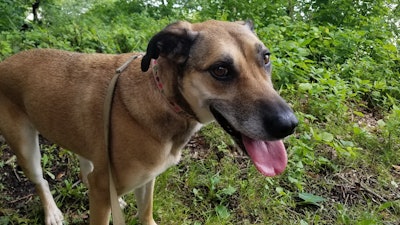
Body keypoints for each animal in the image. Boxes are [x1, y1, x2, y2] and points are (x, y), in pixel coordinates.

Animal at [0, 20, 296, 224]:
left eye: (266, 58)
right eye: (220, 70)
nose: (289, 125)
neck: (164, 99)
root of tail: (6, 62)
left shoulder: (146, 179)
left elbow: (146, 211)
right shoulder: (103, 192)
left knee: (86, 169)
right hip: (26, 147)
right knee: (42, 181)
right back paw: (52, 213)